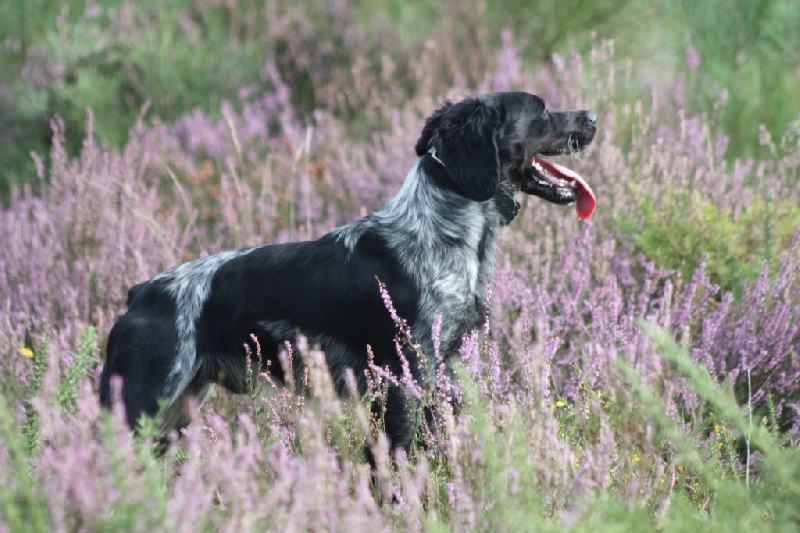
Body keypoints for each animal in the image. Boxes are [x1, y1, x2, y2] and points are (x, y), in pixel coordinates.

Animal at [100, 91, 596, 454]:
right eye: (541, 110)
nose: (592, 116)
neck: (446, 228)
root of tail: (140, 293)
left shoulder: (444, 369)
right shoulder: (402, 378)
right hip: (140, 406)